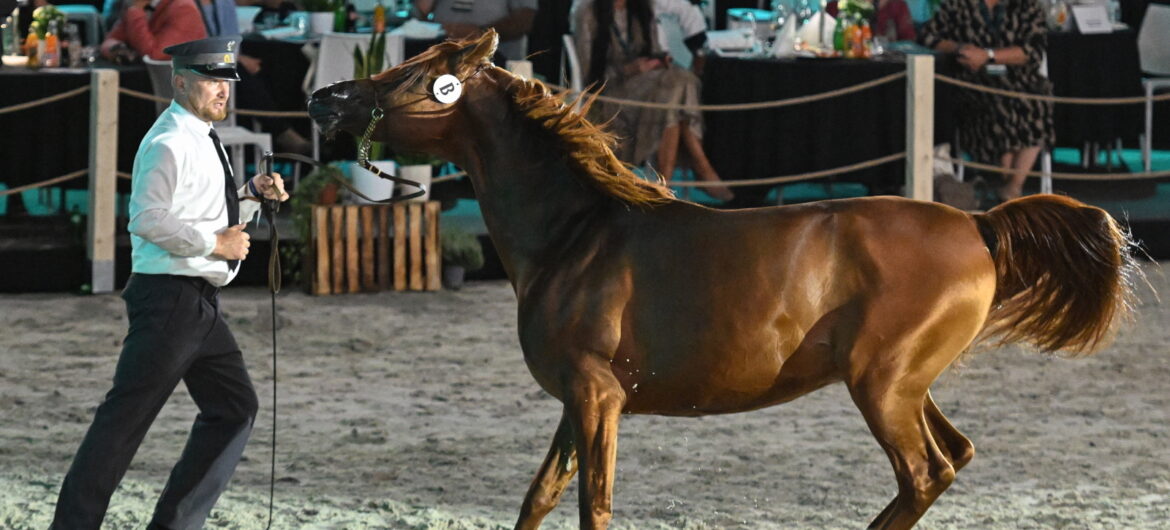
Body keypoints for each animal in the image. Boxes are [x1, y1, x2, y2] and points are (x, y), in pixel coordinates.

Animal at [308, 31, 1132, 526]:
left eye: (414, 74)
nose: (324, 99)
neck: (575, 235)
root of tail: (979, 224)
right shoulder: (578, 399)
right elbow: (541, 495)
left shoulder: (596, 396)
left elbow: (593, 504)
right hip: (905, 384)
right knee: (951, 459)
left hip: (886, 385)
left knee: (925, 472)